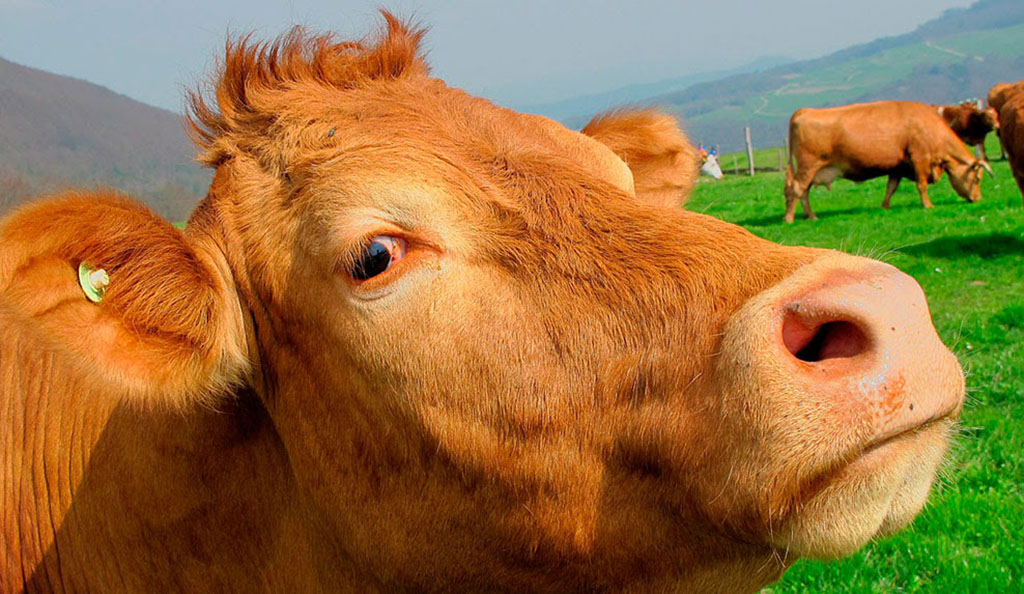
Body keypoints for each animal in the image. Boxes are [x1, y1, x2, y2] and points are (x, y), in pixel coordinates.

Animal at [784, 101, 992, 223]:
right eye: (977, 178)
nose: (978, 199)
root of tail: (803, 110)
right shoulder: (920, 158)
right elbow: (922, 185)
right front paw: (927, 205)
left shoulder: (897, 167)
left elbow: (891, 187)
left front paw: (885, 206)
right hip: (808, 167)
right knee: (797, 189)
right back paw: (792, 218)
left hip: (810, 170)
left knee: (802, 192)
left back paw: (809, 216)